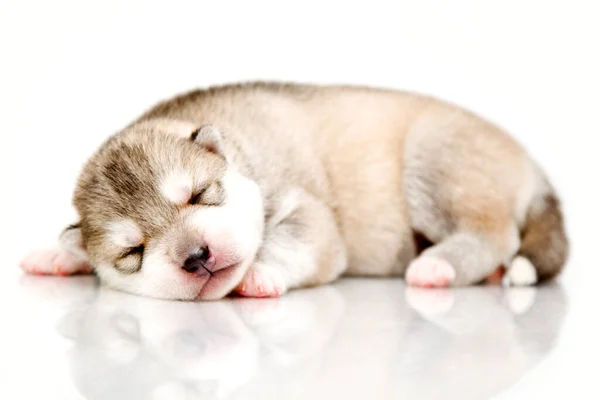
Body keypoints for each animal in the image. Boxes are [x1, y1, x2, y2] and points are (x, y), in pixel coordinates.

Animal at [17, 82, 568, 300]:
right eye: (133, 251)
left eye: (200, 194)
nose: (196, 256)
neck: (240, 151)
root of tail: (531, 161)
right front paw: (57, 253)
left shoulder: (308, 212)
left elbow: (297, 239)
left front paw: (260, 273)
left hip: (435, 160)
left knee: (495, 236)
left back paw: (438, 266)